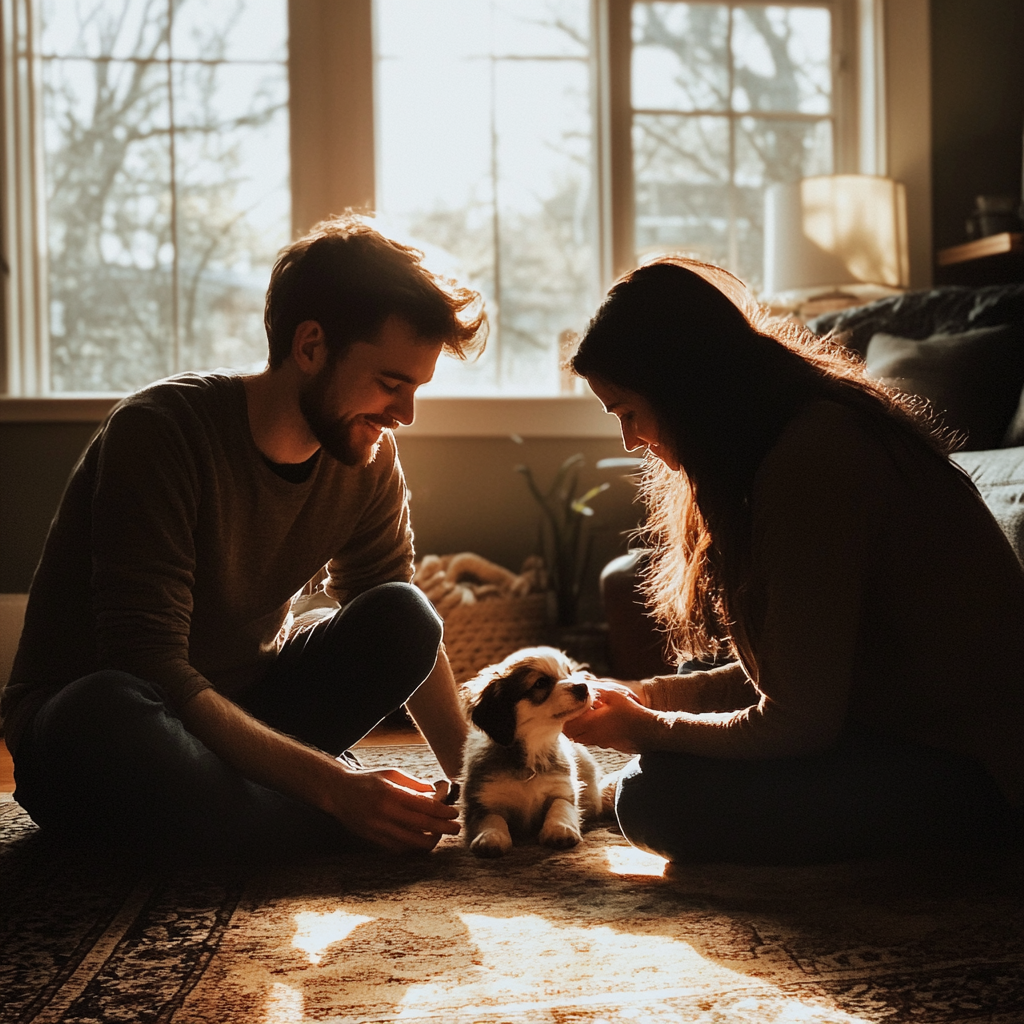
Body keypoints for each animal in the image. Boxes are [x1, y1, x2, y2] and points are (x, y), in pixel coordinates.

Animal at [462, 647, 598, 856]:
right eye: (540, 683)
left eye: (568, 672)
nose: (583, 687)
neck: (535, 747)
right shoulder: (482, 801)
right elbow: (492, 818)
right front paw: (491, 837)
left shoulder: (563, 789)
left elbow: (560, 806)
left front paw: (560, 829)